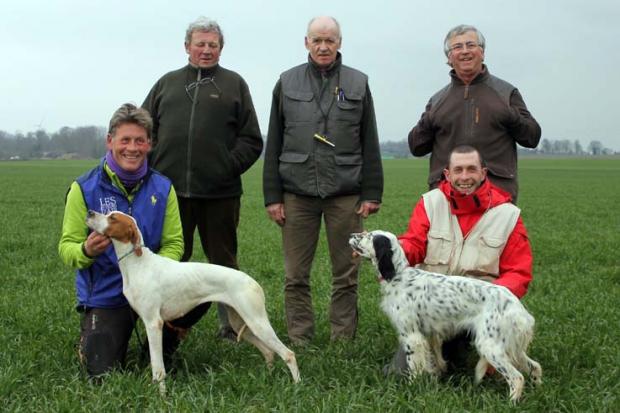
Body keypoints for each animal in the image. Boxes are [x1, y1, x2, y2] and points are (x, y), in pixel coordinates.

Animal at [85, 209, 300, 390]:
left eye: (113, 217)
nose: (90, 212)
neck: (138, 263)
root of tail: (254, 282)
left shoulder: (153, 323)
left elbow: (158, 369)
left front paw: (161, 397)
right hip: (241, 323)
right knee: (269, 352)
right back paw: (268, 379)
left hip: (257, 323)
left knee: (288, 354)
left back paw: (297, 386)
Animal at [348, 230, 544, 400]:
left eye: (368, 236)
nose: (352, 234)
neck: (398, 276)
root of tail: (517, 306)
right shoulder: (427, 337)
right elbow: (430, 364)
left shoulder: (412, 337)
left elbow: (414, 369)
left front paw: (411, 389)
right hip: (510, 347)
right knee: (535, 366)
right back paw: (538, 388)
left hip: (490, 346)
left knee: (517, 377)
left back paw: (512, 402)